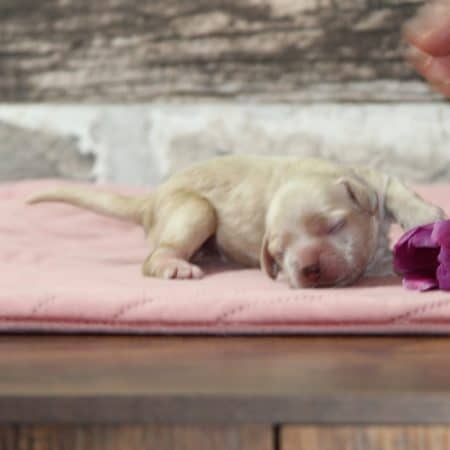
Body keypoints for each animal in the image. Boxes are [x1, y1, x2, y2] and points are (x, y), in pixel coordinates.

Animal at [28, 155, 446, 288]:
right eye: (279, 253)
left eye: (333, 226)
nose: (307, 269)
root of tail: (151, 199)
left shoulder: (371, 180)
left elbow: (394, 189)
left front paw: (426, 217)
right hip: (194, 210)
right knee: (155, 256)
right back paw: (176, 265)